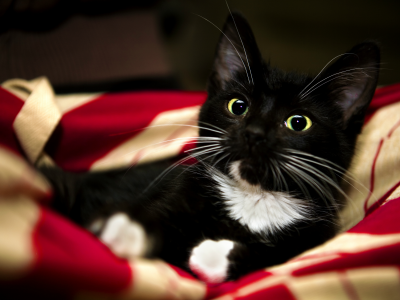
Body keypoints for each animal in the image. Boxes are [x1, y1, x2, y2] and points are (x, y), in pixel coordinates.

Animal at [40, 12, 378, 284]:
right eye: (238, 106)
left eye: (298, 122)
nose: (254, 133)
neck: (253, 197)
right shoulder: (179, 188)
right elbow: (154, 214)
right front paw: (126, 229)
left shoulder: (316, 237)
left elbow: (279, 255)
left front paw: (214, 256)